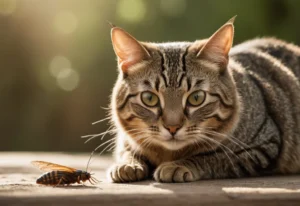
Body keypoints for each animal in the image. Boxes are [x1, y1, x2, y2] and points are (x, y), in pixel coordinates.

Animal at [106, 16, 300, 183]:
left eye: (196, 98)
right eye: (149, 98)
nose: (172, 127)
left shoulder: (264, 145)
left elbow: (214, 156)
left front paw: (177, 165)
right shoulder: (124, 139)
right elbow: (127, 150)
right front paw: (127, 164)